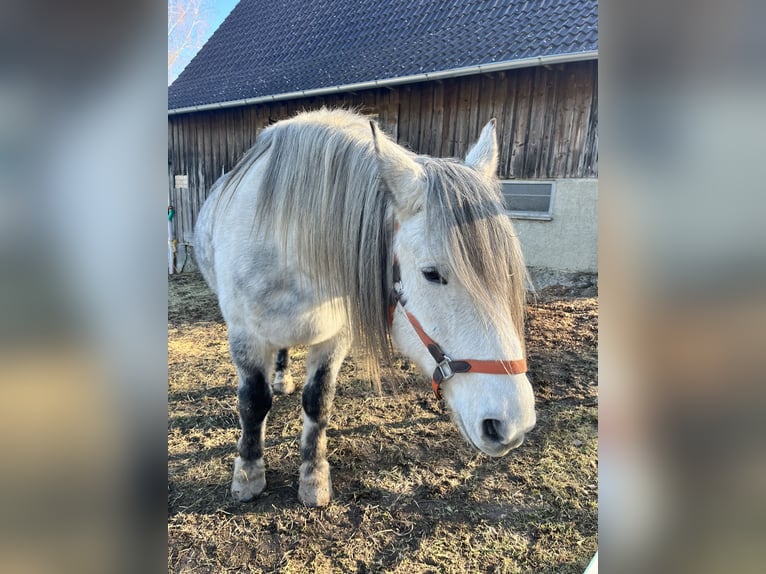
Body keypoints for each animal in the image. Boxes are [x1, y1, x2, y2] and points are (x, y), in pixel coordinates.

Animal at [195, 109, 536, 508]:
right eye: (432, 274)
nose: (513, 422)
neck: (289, 245)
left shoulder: (334, 338)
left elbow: (319, 401)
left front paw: (313, 478)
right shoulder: (245, 336)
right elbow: (253, 402)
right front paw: (248, 475)